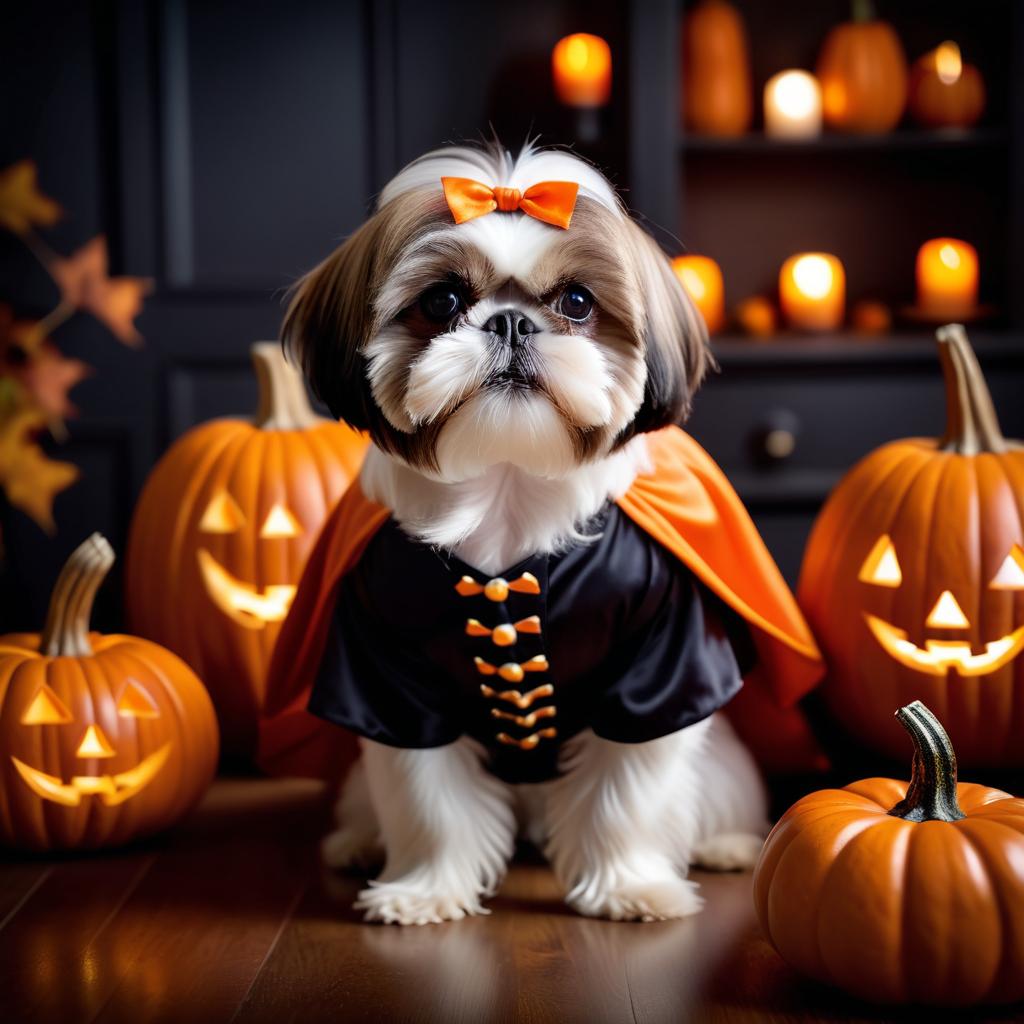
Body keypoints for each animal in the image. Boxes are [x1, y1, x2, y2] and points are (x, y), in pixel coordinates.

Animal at [276, 140, 770, 925]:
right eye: (442, 301)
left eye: (577, 302)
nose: (509, 323)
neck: (507, 487)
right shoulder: (389, 675)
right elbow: (428, 796)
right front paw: (426, 891)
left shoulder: (661, 661)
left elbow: (627, 790)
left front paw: (628, 886)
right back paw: (356, 842)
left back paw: (724, 845)